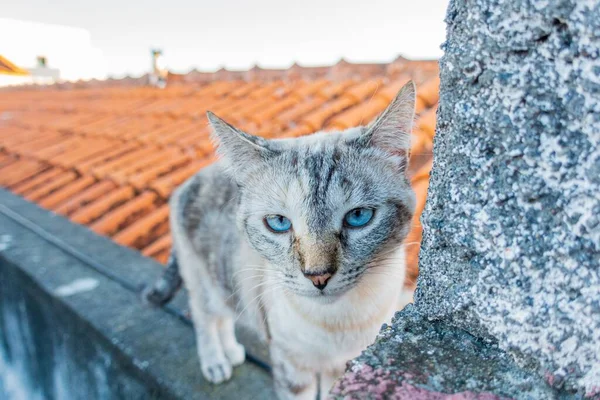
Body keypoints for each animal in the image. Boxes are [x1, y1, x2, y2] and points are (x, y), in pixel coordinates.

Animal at [144, 79, 418, 398]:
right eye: (278, 223)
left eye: (358, 216)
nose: (318, 276)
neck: (339, 324)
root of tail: (189, 180)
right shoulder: (292, 369)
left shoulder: (341, 368)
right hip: (202, 281)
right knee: (204, 318)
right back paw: (216, 363)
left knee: (226, 313)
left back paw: (233, 352)